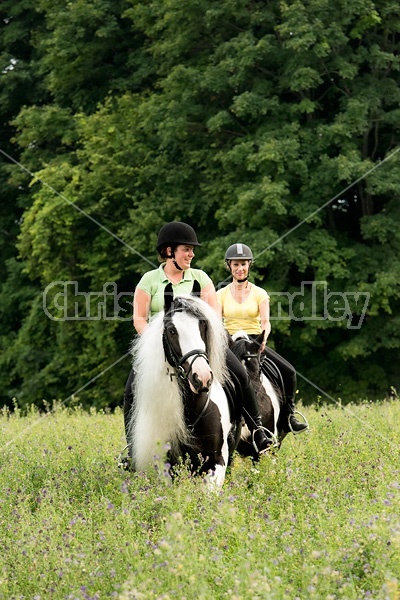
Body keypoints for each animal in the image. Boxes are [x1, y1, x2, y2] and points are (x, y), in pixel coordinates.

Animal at [128, 288, 241, 490]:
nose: (202, 378)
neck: (193, 407)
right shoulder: (166, 464)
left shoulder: (217, 461)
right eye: (171, 330)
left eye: (203, 325)